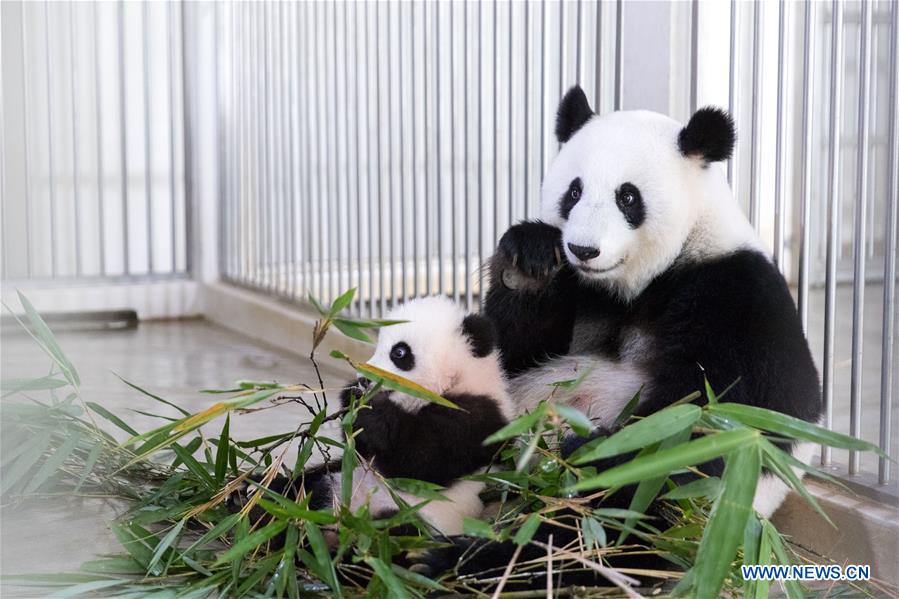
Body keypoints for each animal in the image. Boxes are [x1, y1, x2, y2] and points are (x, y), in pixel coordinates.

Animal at [235, 295, 512, 537]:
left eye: (399, 353)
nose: (364, 379)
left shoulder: (477, 418)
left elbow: (420, 463)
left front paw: (375, 413)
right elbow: (362, 449)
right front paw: (353, 399)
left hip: (412, 516)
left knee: (391, 534)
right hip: (335, 483)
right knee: (306, 489)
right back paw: (251, 495)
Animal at [407, 86, 822, 585]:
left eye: (628, 197)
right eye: (574, 190)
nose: (583, 250)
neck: (635, 284)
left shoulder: (735, 294)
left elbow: (721, 421)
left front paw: (587, 447)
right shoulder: (581, 295)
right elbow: (505, 357)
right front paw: (526, 260)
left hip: (686, 519)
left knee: (603, 529)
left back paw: (463, 562)